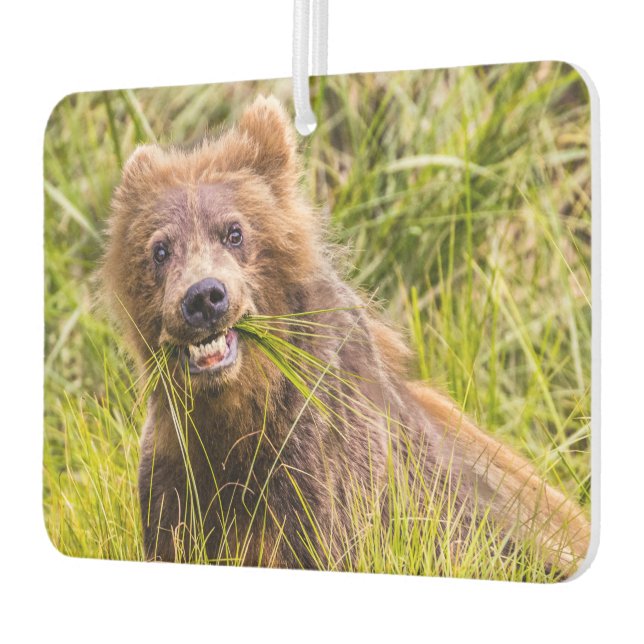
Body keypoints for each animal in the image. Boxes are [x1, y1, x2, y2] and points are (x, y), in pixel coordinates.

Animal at [102, 96, 590, 576]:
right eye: (160, 249)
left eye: (234, 232)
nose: (203, 297)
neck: (237, 415)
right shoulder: (177, 471)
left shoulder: (321, 472)